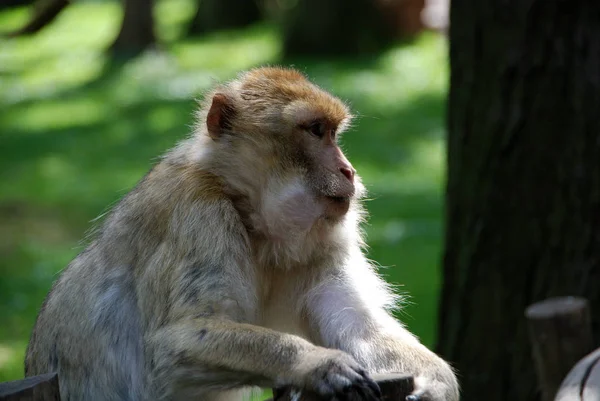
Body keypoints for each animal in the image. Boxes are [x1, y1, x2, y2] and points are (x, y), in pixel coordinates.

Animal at [24, 66, 460, 400]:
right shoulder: (198, 217)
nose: (348, 170)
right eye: (315, 129)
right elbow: (172, 346)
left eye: (333, 133)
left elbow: (361, 328)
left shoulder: (322, 245)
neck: (253, 222)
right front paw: (314, 362)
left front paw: (438, 383)